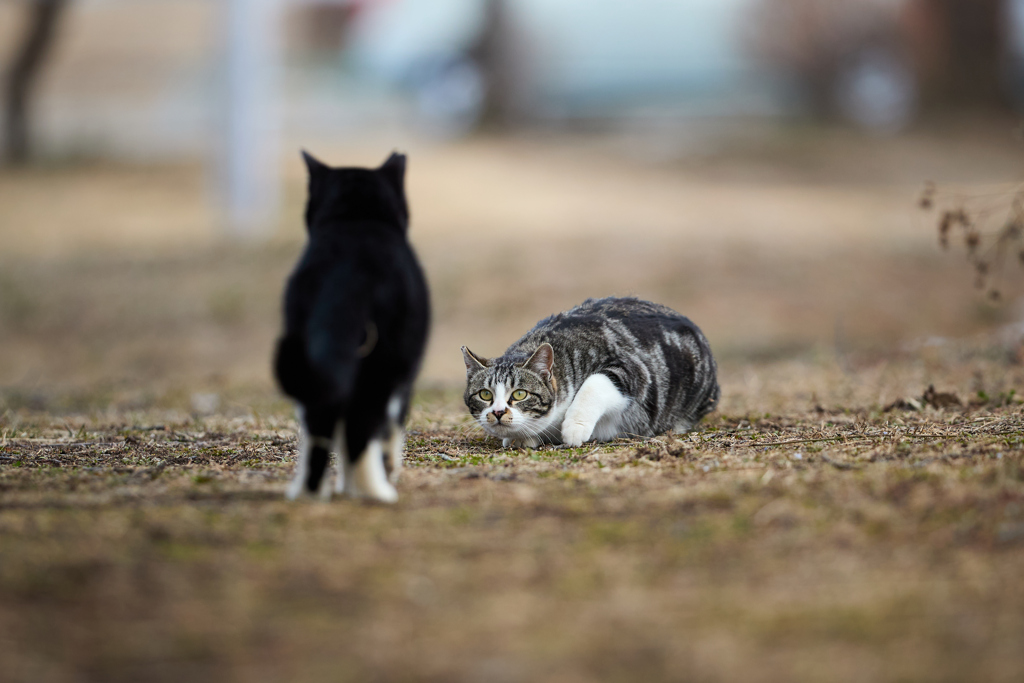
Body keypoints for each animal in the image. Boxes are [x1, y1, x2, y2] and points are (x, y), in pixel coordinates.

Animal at [460, 294, 716, 446]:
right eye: (485, 394)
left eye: (519, 394)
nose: (498, 412)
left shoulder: (632, 370)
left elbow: (595, 384)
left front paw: (575, 428)